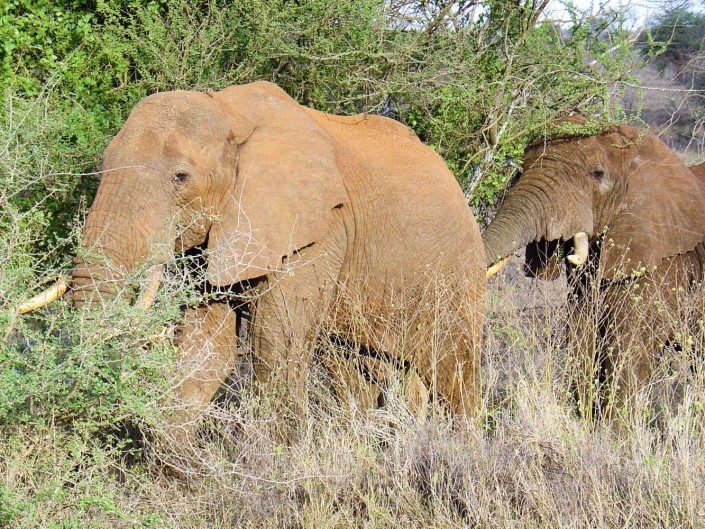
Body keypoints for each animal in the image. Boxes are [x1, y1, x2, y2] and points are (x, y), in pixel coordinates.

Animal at [20, 80, 484, 448]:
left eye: (181, 177)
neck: (229, 112)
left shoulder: (316, 232)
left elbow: (274, 346)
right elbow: (206, 345)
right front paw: (183, 467)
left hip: (456, 272)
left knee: (453, 372)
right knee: (355, 369)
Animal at [482, 117, 704, 422]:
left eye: (597, 173)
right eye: (522, 169)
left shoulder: (662, 260)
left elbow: (629, 347)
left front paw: (613, 432)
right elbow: (581, 334)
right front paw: (586, 424)